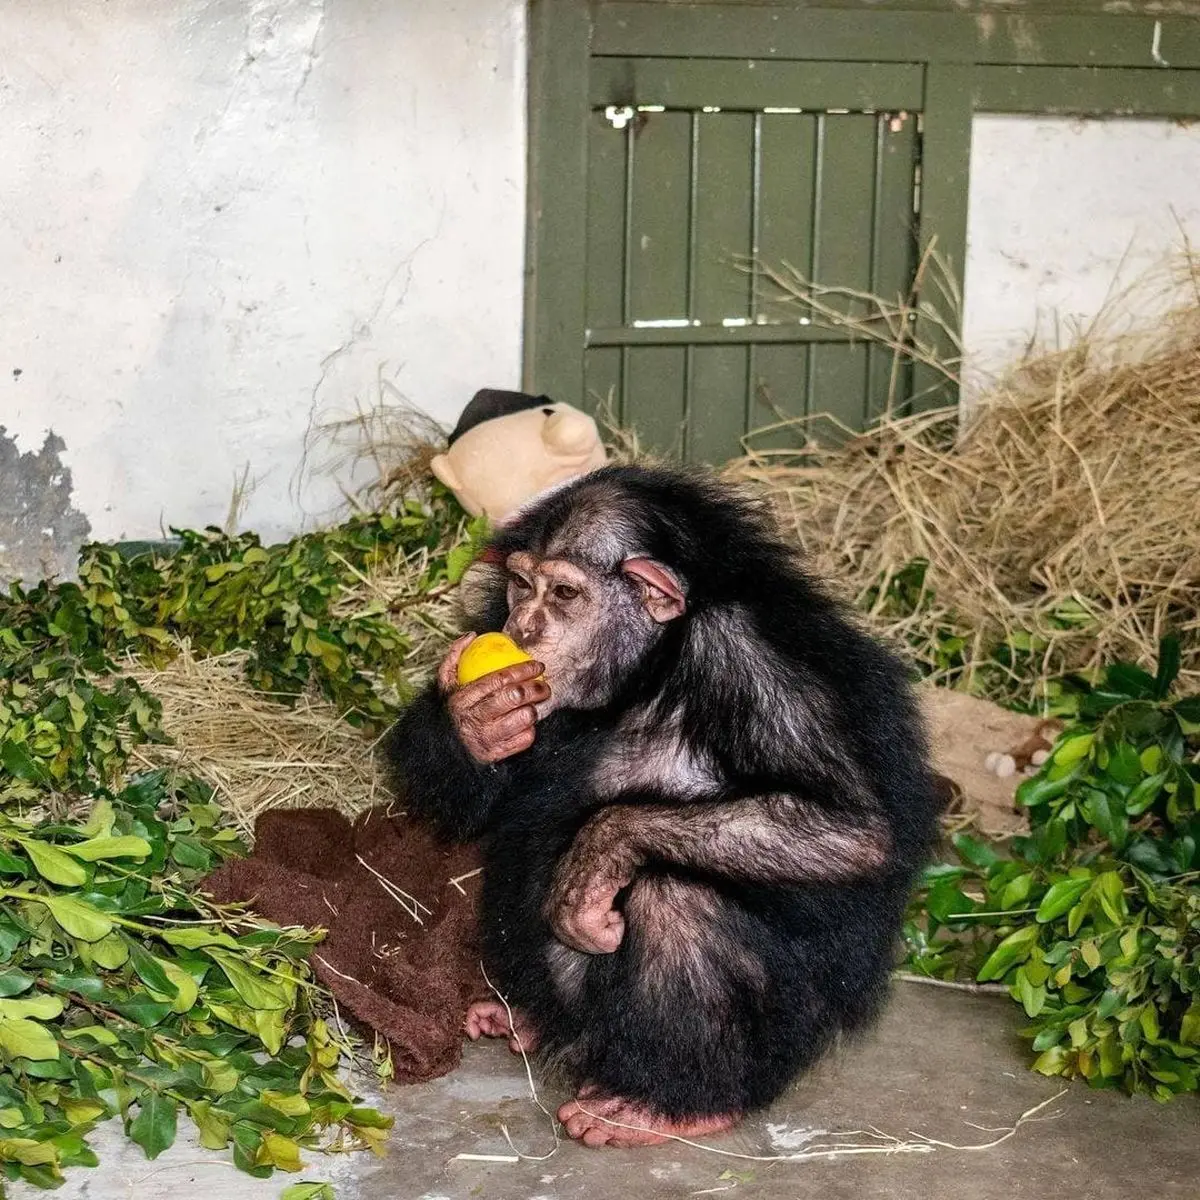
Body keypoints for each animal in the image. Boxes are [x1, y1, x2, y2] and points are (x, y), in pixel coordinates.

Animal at [379, 463, 940, 1147]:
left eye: (564, 594)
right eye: (520, 585)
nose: (525, 628)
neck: (650, 668)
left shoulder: (751, 663)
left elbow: (849, 827)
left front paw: (597, 858)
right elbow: (469, 803)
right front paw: (477, 719)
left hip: (781, 1037)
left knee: (675, 899)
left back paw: (663, 1103)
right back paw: (522, 1019)